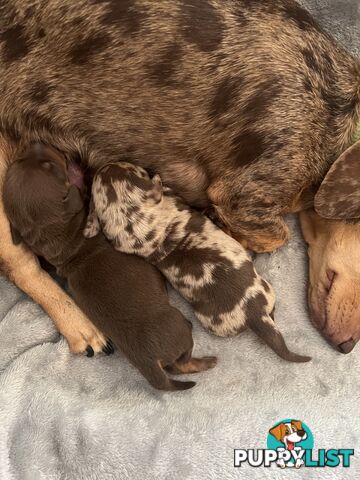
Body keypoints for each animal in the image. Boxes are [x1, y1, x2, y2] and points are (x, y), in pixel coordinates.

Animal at [2, 145, 217, 390]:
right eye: (49, 166)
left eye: (25, 160)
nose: (35, 144)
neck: (65, 238)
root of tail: (148, 362)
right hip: (178, 325)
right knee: (184, 361)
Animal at [86, 162, 310, 364]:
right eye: (130, 169)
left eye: (123, 168)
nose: (106, 164)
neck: (143, 228)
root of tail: (253, 314)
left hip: (268, 290)